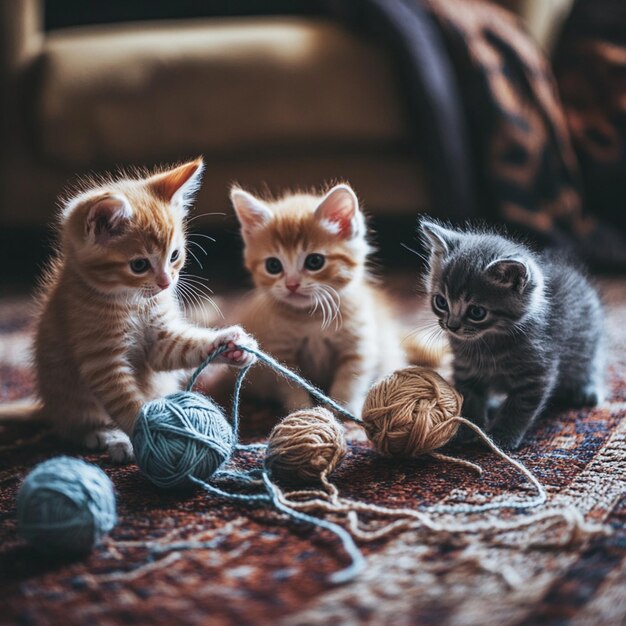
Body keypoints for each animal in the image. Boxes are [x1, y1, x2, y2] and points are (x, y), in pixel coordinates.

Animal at [33, 158, 258, 460]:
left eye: (174, 256)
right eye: (139, 265)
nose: (166, 283)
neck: (133, 302)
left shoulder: (158, 342)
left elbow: (182, 348)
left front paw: (229, 346)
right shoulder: (101, 360)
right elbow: (125, 402)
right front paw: (150, 433)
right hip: (68, 394)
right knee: (76, 426)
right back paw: (107, 436)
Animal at [225, 182, 438, 414]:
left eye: (314, 261)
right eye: (273, 266)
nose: (292, 284)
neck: (312, 318)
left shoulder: (358, 346)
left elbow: (349, 383)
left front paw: (343, 413)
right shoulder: (281, 352)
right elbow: (291, 384)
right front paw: (302, 412)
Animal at [416, 219, 604, 448]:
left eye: (476, 312)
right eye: (441, 302)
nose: (451, 326)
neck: (487, 342)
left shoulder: (536, 372)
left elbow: (520, 406)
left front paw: (501, 435)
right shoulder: (466, 369)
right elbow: (469, 396)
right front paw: (467, 428)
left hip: (588, 341)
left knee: (589, 364)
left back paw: (586, 390)